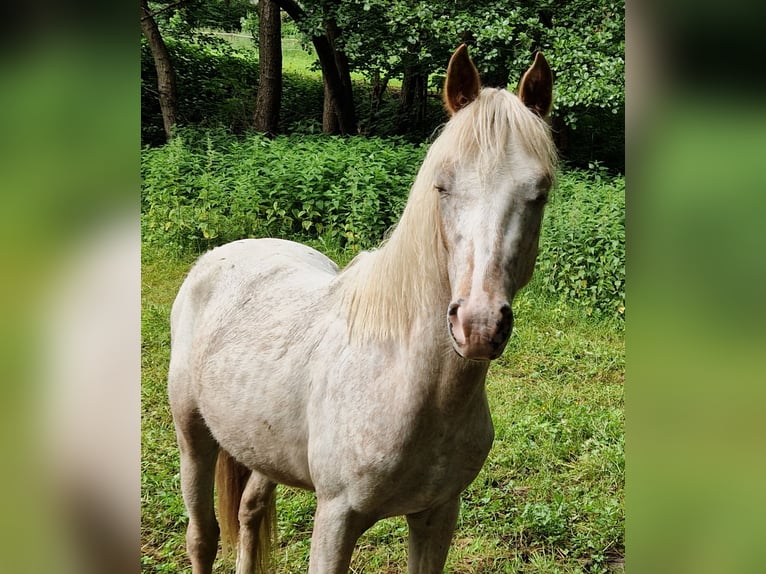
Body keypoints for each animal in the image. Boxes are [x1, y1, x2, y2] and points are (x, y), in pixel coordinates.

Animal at [170, 46, 560, 574]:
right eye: (442, 186)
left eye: (539, 193)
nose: (478, 325)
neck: (404, 380)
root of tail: (221, 254)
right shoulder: (337, 519)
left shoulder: (438, 514)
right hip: (192, 436)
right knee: (203, 536)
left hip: (259, 445)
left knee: (250, 510)